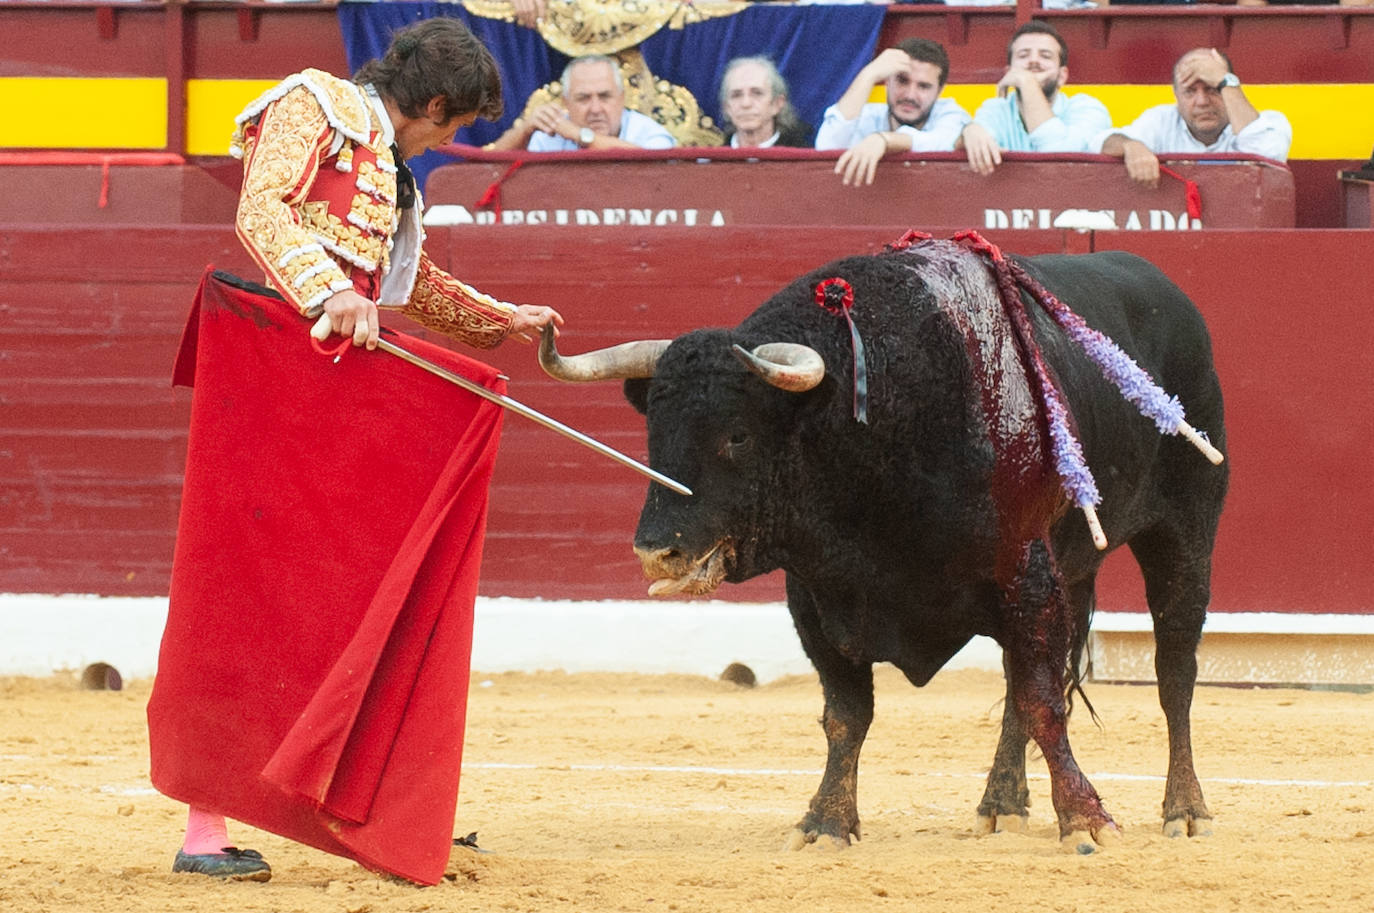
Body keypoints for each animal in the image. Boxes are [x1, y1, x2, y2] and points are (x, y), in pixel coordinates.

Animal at [541, 239, 1231, 852]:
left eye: (737, 435)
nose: (657, 552)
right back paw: (1002, 803)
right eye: (654, 432)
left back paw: (1186, 810)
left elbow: (1042, 702)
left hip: (1184, 532)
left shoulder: (1025, 573)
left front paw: (1085, 821)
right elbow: (847, 714)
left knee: (1173, 671)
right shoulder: (817, 596)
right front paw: (825, 822)